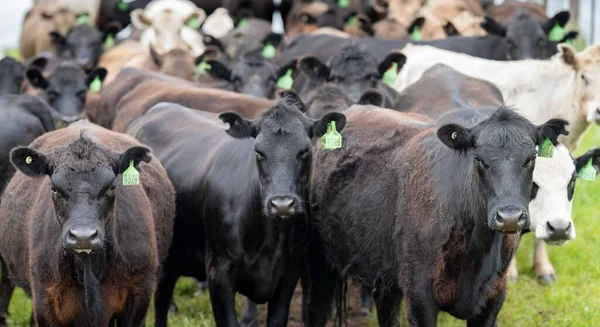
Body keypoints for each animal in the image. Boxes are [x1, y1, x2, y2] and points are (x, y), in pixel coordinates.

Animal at [126, 100, 346, 327]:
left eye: (305, 152)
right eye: (258, 152)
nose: (282, 204)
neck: (270, 239)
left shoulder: (289, 272)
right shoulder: (218, 273)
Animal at [304, 106, 568, 326]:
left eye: (531, 158)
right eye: (478, 159)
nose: (510, 216)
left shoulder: (493, 296)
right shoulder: (419, 295)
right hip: (321, 261)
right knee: (315, 311)